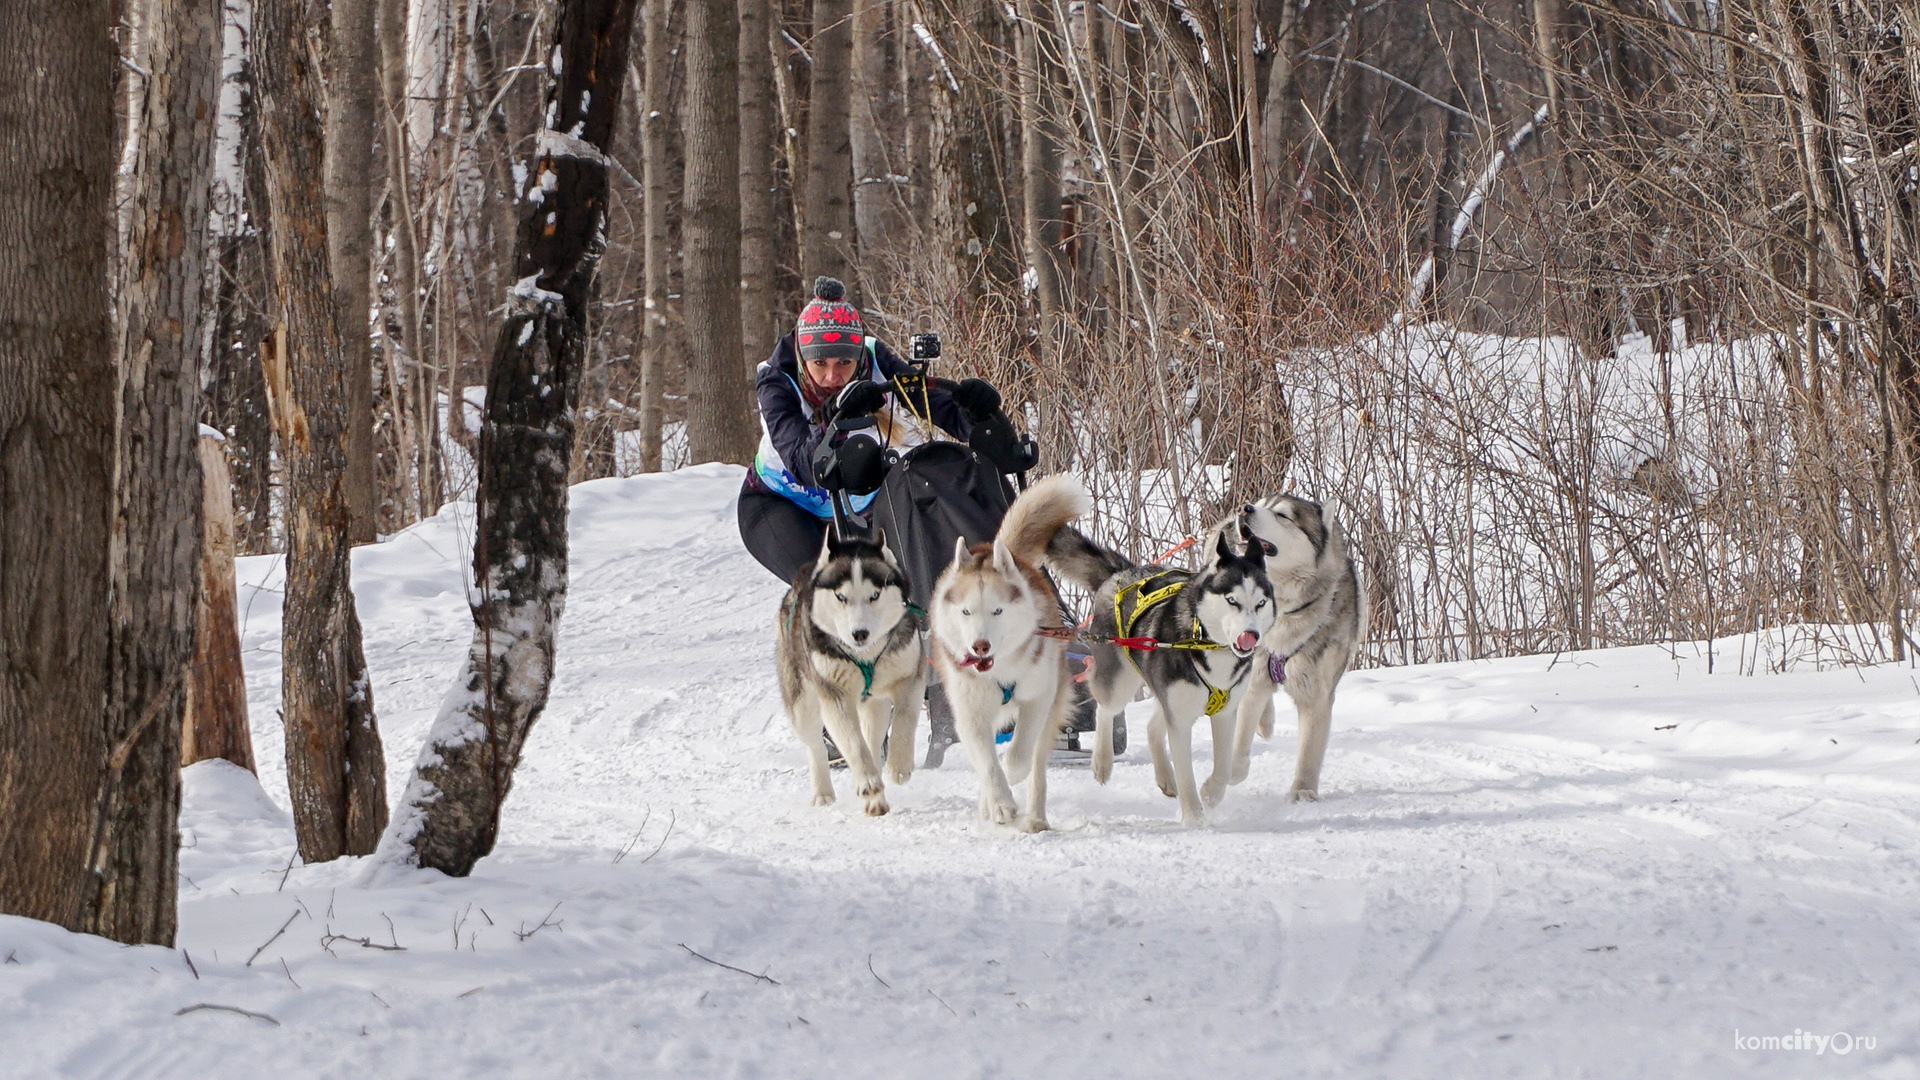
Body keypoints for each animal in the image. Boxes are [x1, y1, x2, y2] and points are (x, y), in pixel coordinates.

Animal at [771, 526, 921, 810]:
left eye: (875, 595)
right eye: (841, 597)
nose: (859, 633)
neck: (866, 656)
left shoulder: (908, 675)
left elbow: (905, 718)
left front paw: (899, 765)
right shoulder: (834, 694)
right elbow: (852, 743)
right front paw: (867, 782)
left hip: (874, 704)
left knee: (873, 741)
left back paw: (876, 797)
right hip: (802, 703)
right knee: (816, 744)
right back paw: (824, 792)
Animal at [933, 472, 1098, 834]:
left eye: (997, 610)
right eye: (966, 612)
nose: (980, 645)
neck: (999, 671)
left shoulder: (1038, 698)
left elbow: (1018, 757)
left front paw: (1009, 778)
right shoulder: (970, 712)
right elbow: (986, 764)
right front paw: (1000, 802)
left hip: (1050, 711)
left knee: (1036, 766)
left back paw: (1034, 818)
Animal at [1052, 522, 1274, 822]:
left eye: (1261, 603)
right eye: (1231, 600)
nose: (1251, 634)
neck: (1201, 639)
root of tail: (1121, 572)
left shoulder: (1224, 713)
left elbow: (1224, 765)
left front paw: (1210, 792)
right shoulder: (1180, 720)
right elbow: (1186, 773)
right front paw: (1194, 817)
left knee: (1151, 727)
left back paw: (1165, 778)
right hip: (1120, 682)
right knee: (1105, 709)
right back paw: (1102, 762)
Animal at [1213, 495, 1367, 799]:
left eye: (1283, 515)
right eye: (1262, 503)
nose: (1244, 508)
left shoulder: (1316, 694)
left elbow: (1309, 751)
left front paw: (1302, 791)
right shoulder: (1255, 673)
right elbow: (1241, 737)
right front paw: (1234, 772)